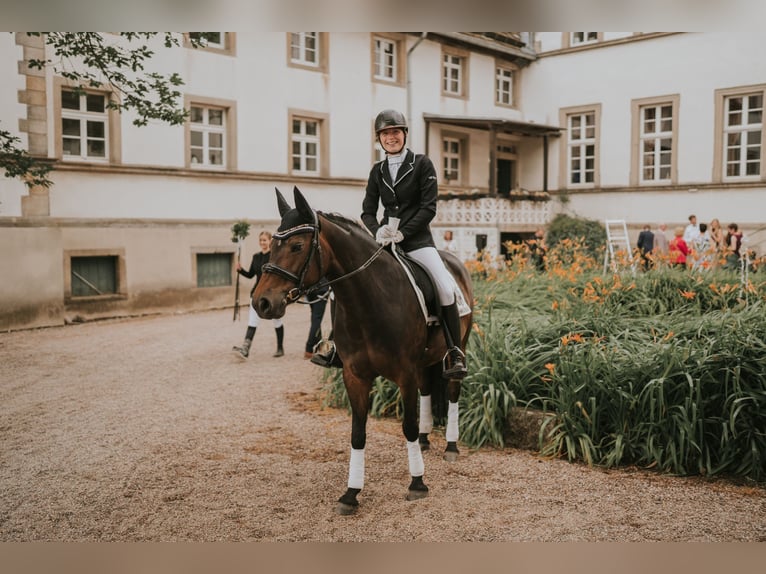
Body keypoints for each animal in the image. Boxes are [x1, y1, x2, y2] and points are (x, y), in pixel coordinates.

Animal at [252, 186, 474, 516]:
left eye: (296, 245)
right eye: (273, 244)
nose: (261, 302)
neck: (370, 298)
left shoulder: (405, 374)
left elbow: (406, 426)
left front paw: (417, 483)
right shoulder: (354, 375)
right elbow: (358, 433)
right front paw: (351, 493)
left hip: (457, 348)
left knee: (452, 391)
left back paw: (450, 446)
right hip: (423, 363)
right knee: (427, 391)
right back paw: (425, 440)